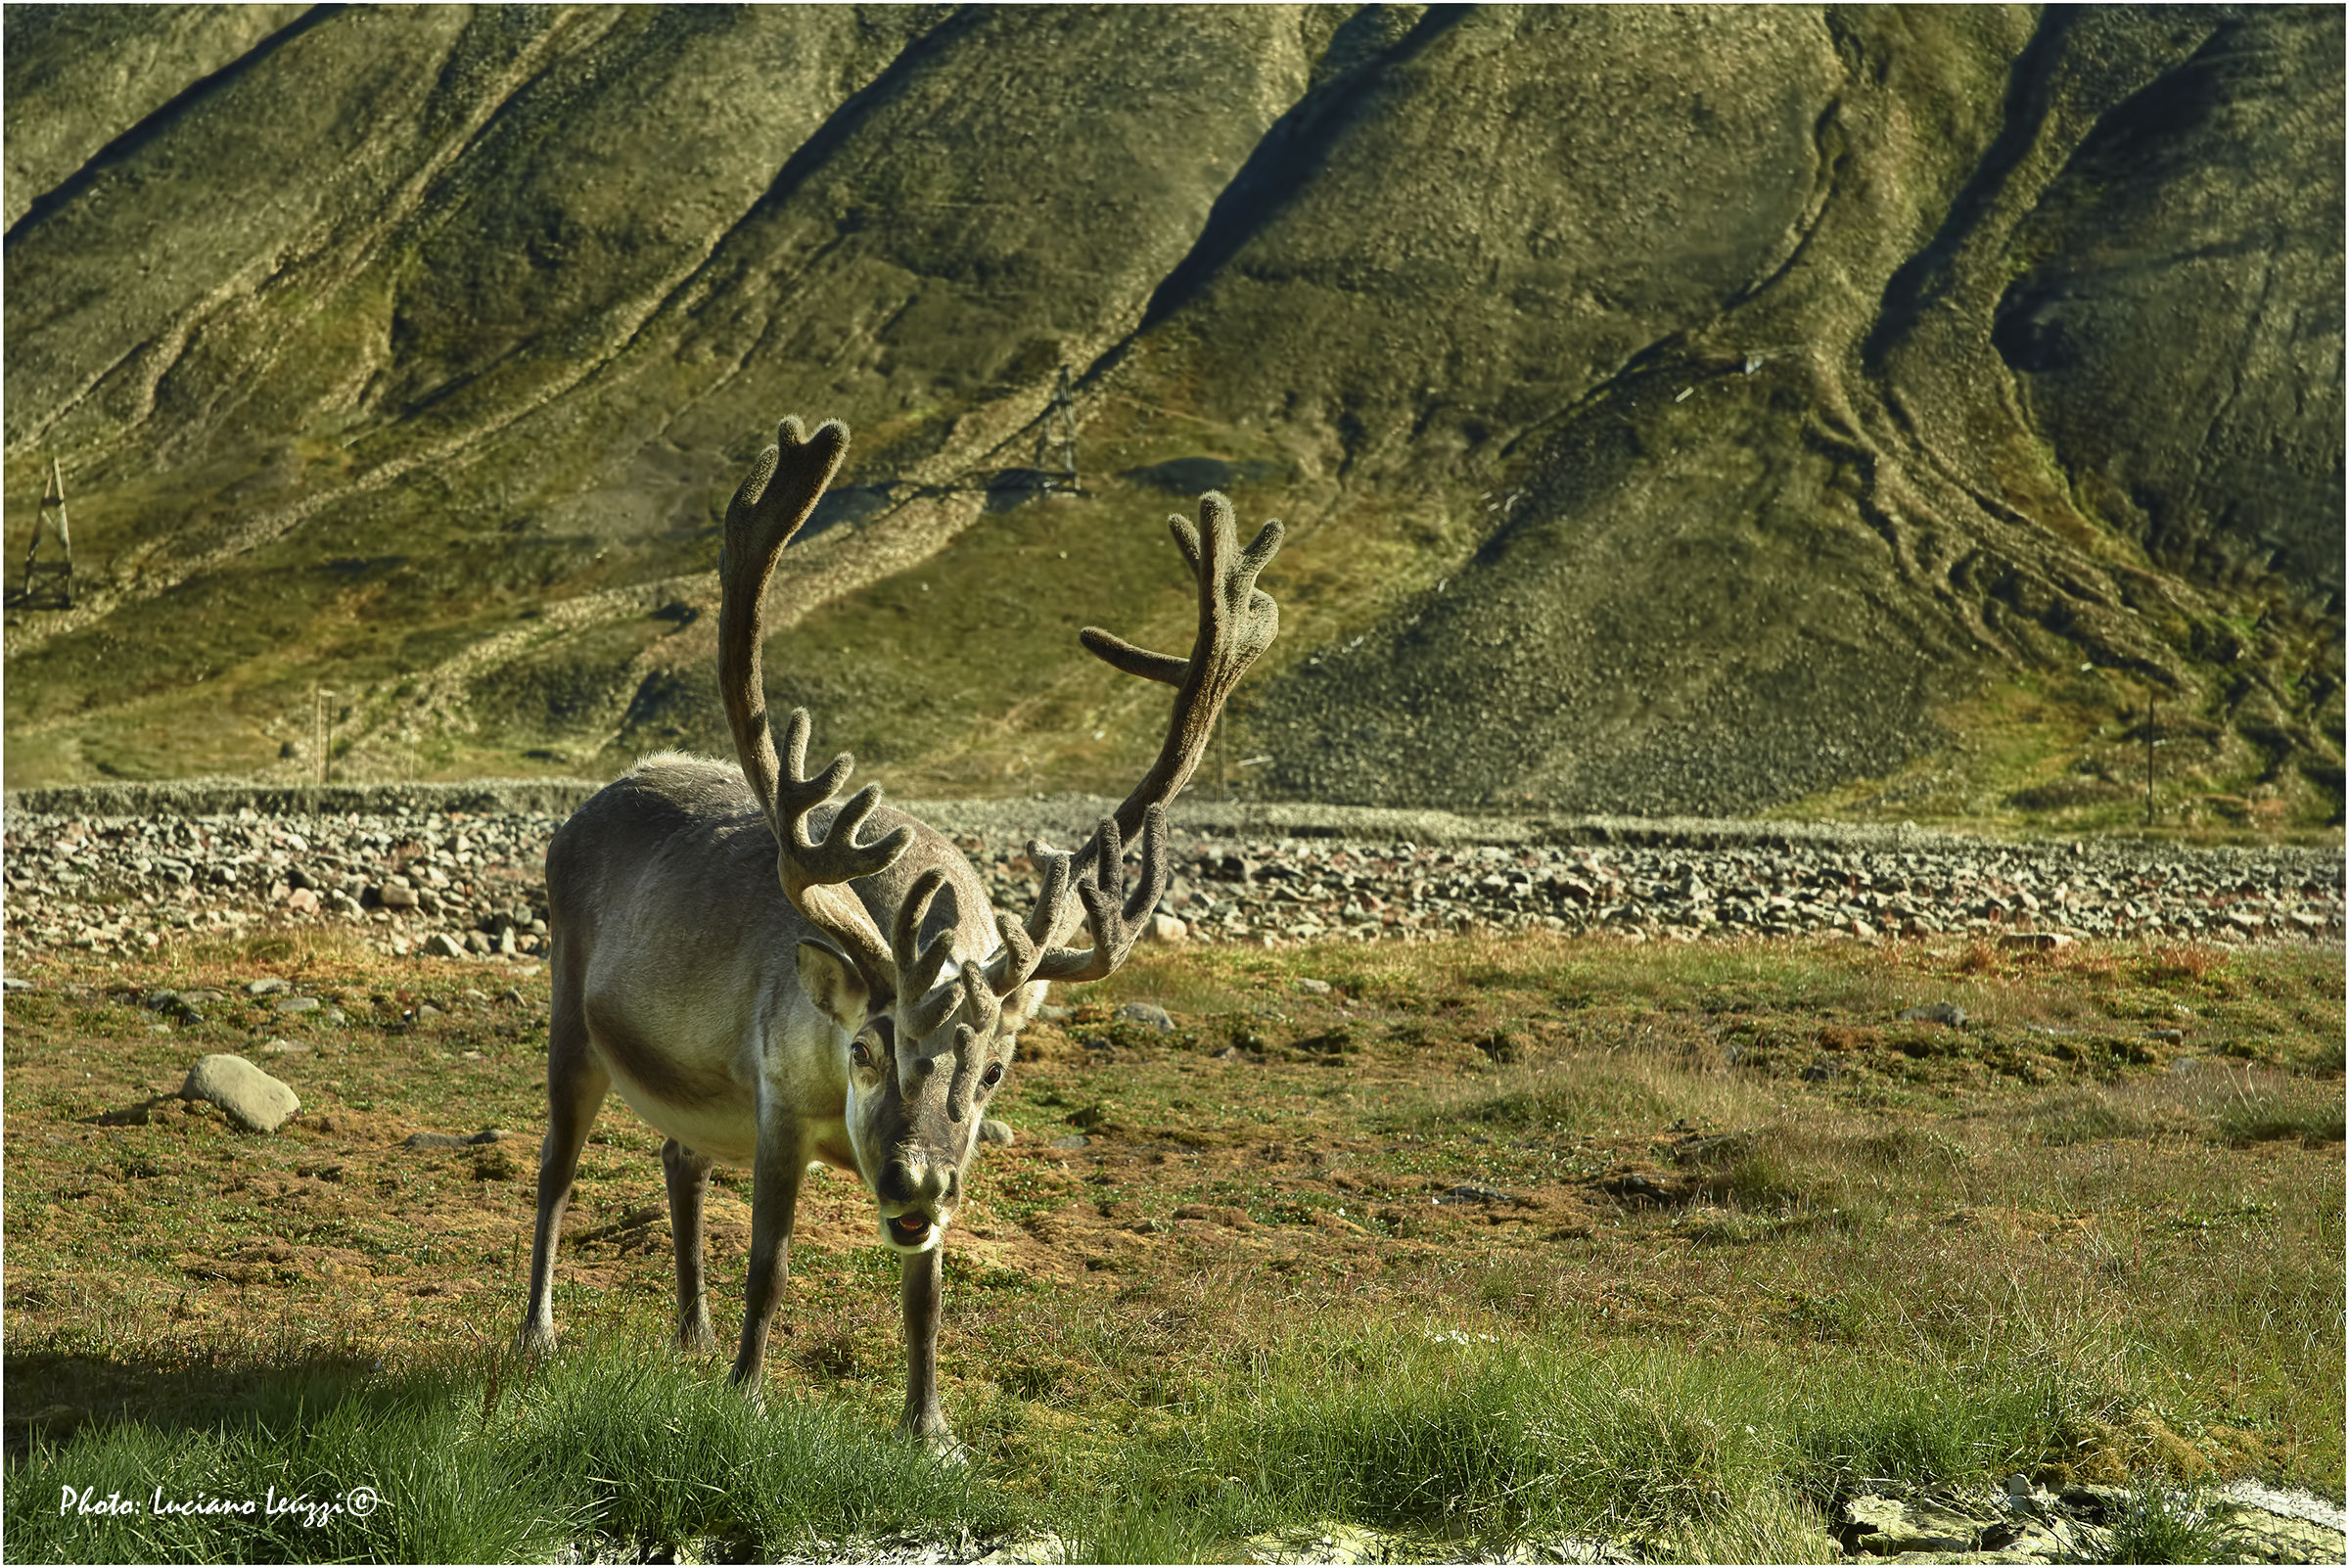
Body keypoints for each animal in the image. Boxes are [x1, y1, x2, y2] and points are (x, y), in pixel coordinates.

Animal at [516, 413, 1282, 1452]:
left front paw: (932, 1428)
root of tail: (586, 807)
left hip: (698, 1085)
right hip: (571, 1020)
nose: (915, 1182)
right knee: (555, 1171)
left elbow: (927, 1300)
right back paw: (540, 1333)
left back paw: (691, 1335)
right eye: (868, 1049)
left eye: (992, 1072)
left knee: (680, 1159)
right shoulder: (776, 1104)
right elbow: (771, 1266)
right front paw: (748, 1393)